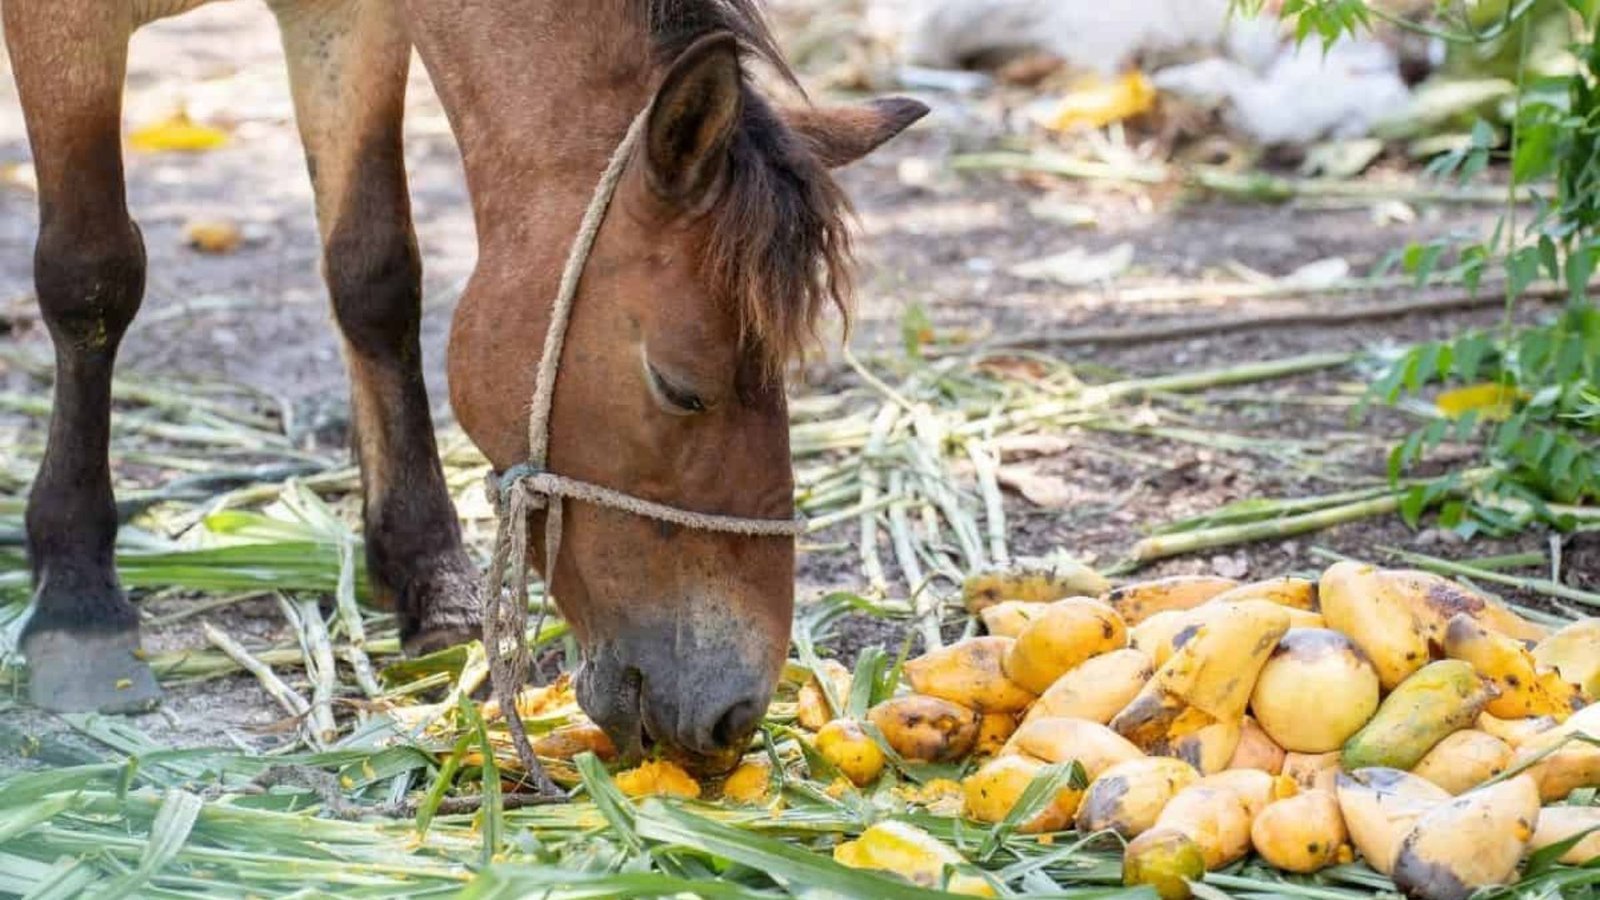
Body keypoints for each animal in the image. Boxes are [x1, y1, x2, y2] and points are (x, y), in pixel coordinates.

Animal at [9, 0, 928, 771]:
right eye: (678, 387)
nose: (735, 711)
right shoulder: (62, 28)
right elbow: (91, 276)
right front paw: (78, 595)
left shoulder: (345, 22)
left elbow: (374, 272)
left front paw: (427, 576)